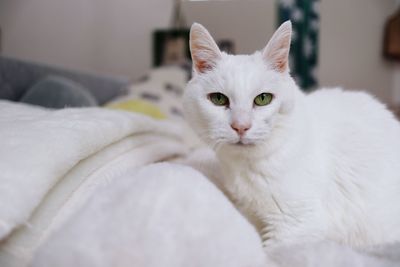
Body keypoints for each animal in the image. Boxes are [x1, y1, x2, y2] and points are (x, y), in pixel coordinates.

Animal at [183, 21, 400, 249]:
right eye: (218, 99)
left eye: (263, 98)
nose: (241, 126)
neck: (247, 165)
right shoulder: (251, 213)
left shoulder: (296, 224)